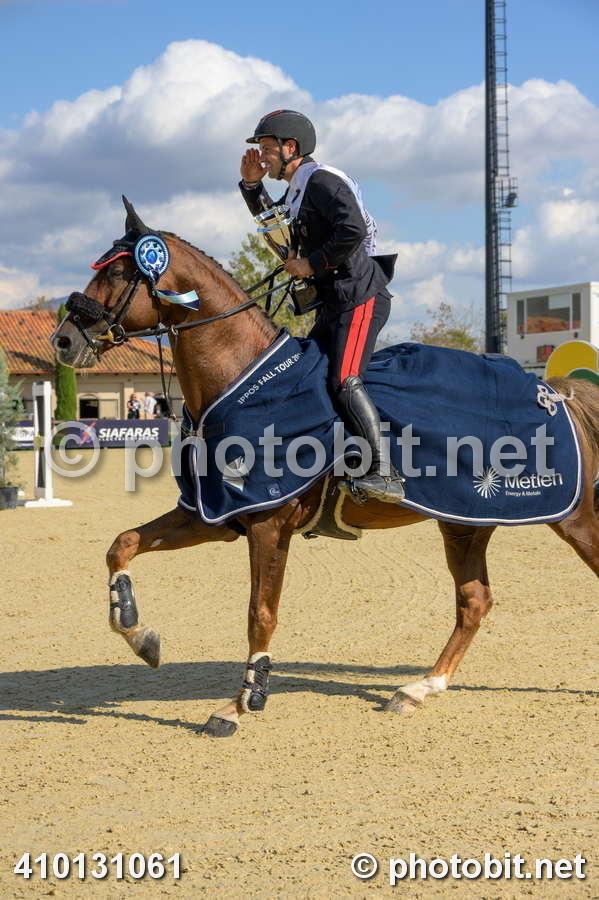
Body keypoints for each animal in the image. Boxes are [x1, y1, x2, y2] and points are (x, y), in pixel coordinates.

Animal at [52, 198, 599, 737]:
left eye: (118, 271)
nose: (63, 341)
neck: (242, 377)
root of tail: (555, 392)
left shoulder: (269, 523)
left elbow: (260, 613)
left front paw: (242, 702)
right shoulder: (214, 516)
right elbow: (122, 544)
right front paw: (138, 632)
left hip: (569, 517)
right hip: (465, 522)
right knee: (474, 601)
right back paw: (419, 689)